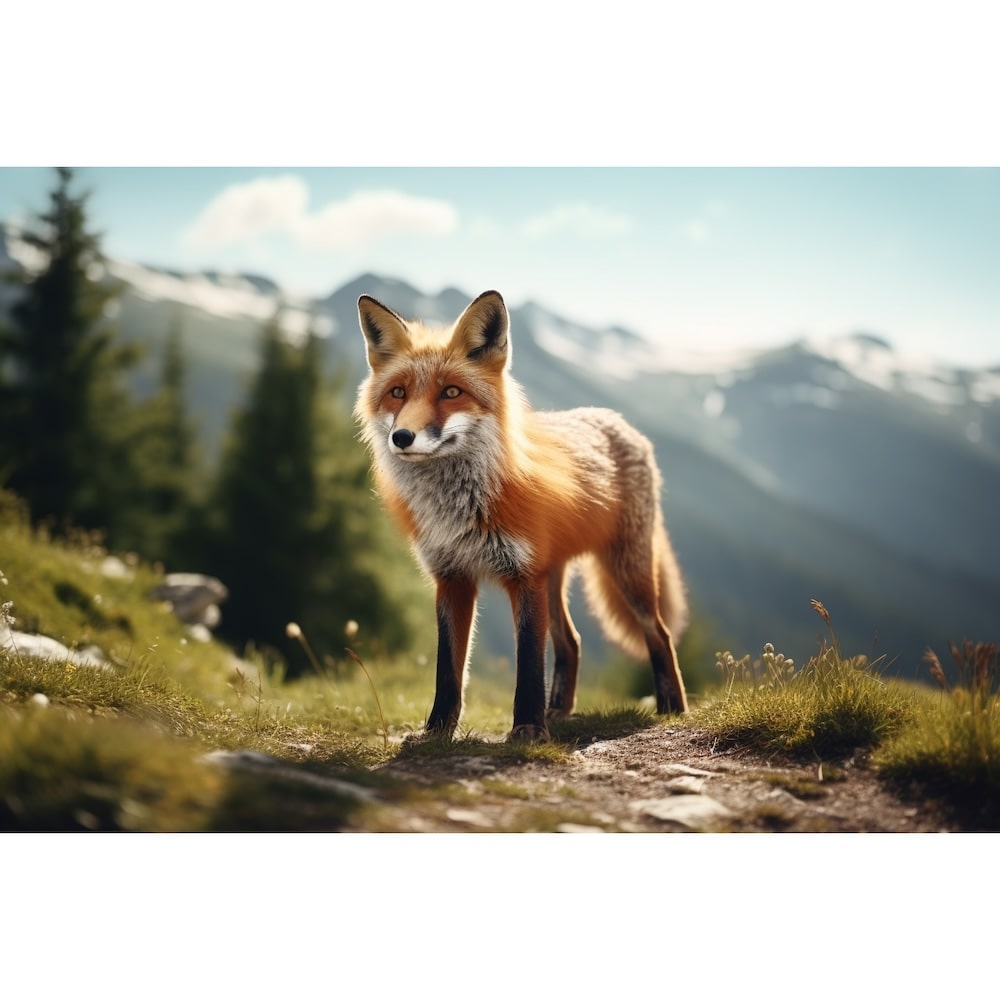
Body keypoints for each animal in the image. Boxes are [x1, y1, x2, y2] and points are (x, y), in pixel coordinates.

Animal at [354, 289, 688, 742]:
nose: (402, 437)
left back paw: (673, 706)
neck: (460, 509)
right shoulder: (452, 578)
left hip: (626, 572)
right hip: (555, 577)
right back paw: (559, 710)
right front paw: (437, 732)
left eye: (452, 392)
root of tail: (615, 419)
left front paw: (529, 728)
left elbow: (528, 663)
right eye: (398, 392)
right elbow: (448, 670)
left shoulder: (524, 575)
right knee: (572, 642)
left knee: (660, 633)